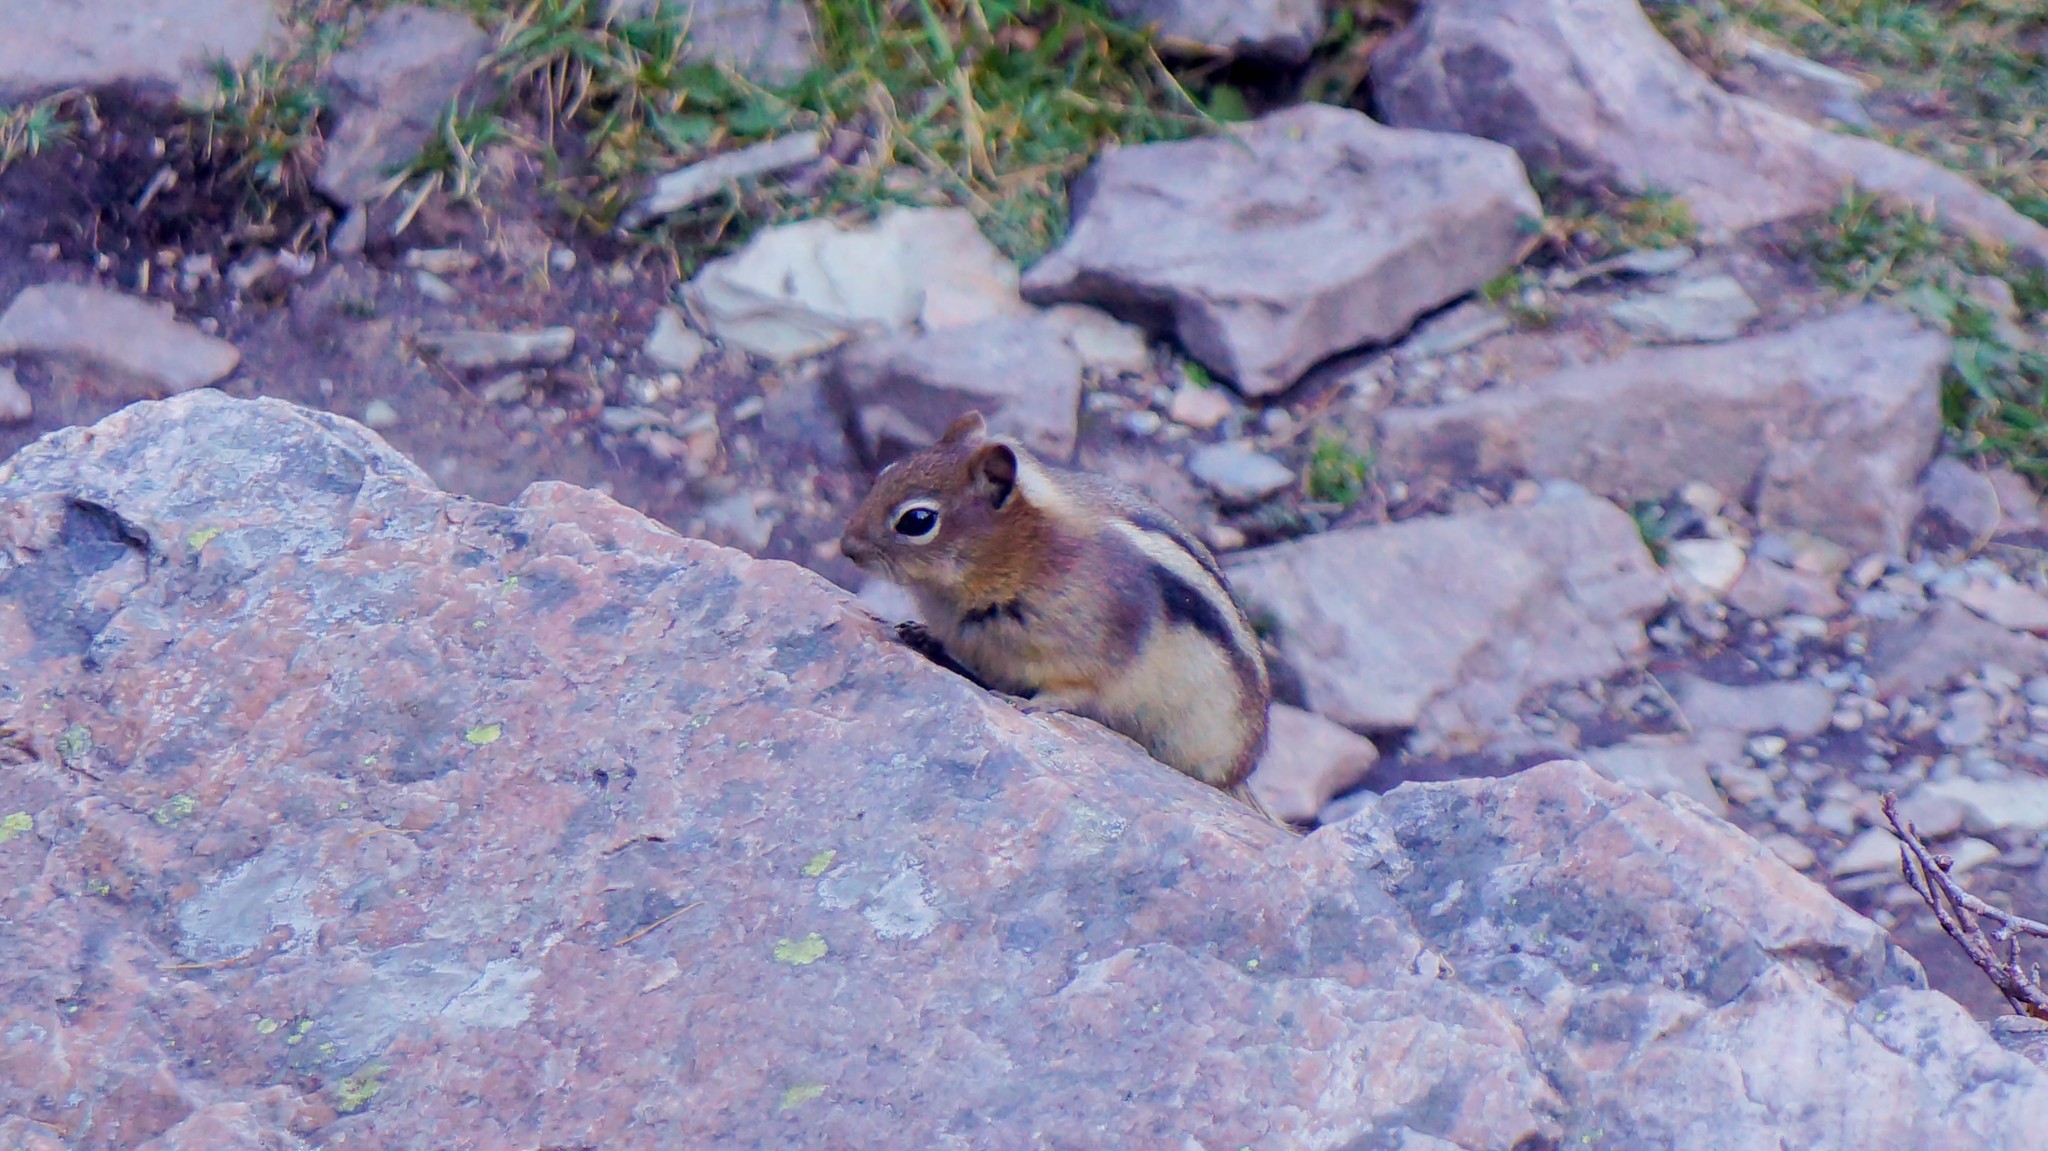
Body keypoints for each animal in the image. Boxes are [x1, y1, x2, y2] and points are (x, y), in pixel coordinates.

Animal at [835, 411, 1261, 798]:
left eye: (917, 520)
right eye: (887, 471)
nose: (847, 547)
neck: (1025, 549)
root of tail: (1240, 776)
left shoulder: (1099, 652)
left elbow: (1076, 691)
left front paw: (1027, 702)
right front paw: (922, 634)